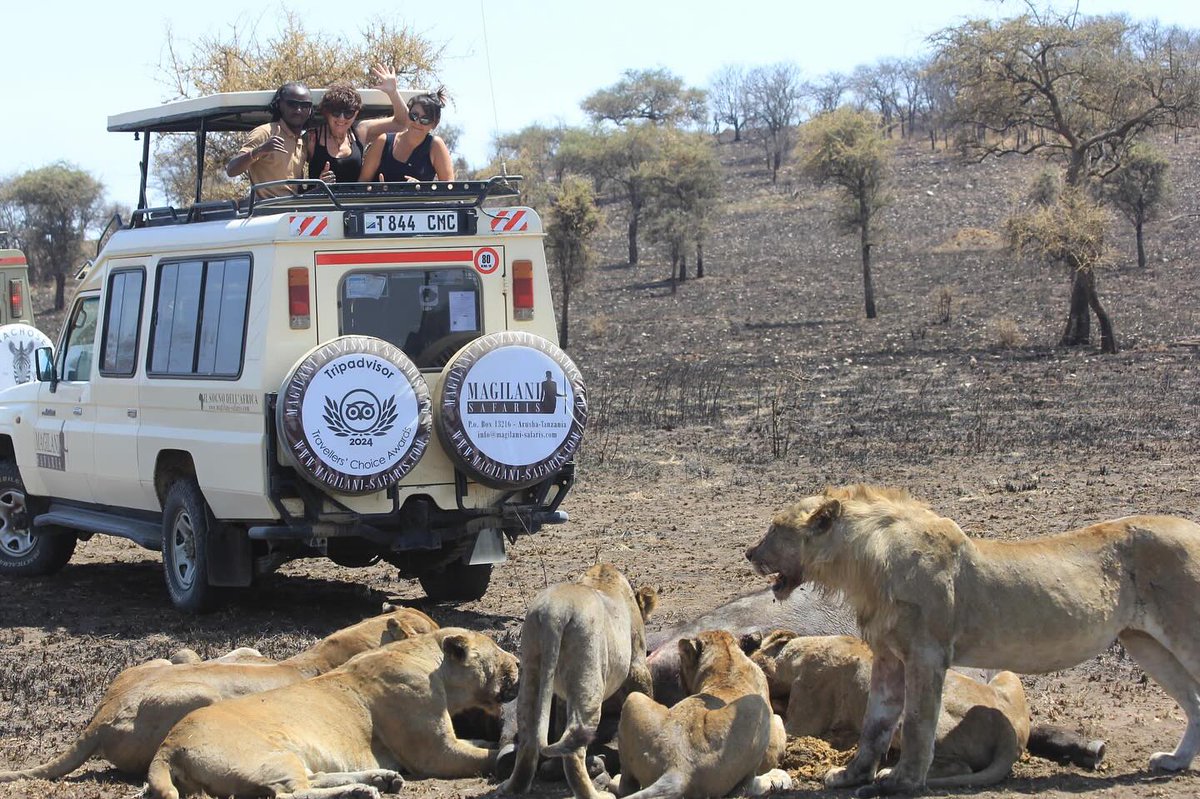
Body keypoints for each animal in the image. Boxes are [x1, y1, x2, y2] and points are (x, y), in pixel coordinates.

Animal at [147, 627, 519, 799]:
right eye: (497, 649)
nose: (518, 661)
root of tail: (167, 745)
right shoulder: (435, 753)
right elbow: (485, 755)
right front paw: (504, 756)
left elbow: (479, 744)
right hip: (271, 756)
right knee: (291, 794)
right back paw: (362, 790)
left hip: (289, 756)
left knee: (313, 779)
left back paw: (377, 780)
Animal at [502, 562, 658, 799]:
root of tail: (555, 612)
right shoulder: (636, 662)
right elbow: (644, 692)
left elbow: (558, 724)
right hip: (589, 678)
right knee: (574, 747)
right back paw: (596, 795)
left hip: (531, 668)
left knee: (531, 738)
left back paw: (513, 788)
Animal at [608, 629, 792, 799]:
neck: (727, 658)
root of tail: (678, 766)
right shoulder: (772, 738)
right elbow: (779, 723)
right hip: (756, 706)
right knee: (744, 787)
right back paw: (778, 778)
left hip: (634, 699)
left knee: (627, 784)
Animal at [748, 631, 1029, 788]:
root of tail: (1009, 733)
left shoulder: (806, 711)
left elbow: (786, 721)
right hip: (1007, 675)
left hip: (910, 718)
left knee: (957, 766)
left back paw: (885, 771)